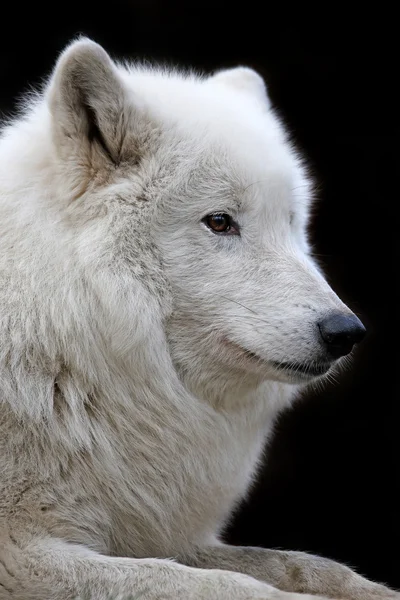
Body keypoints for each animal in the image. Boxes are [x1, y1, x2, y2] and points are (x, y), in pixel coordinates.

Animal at [0, 38, 396, 600]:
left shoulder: (149, 530)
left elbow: (305, 567)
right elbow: (224, 585)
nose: (346, 333)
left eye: (291, 223)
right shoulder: (22, 556)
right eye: (220, 221)